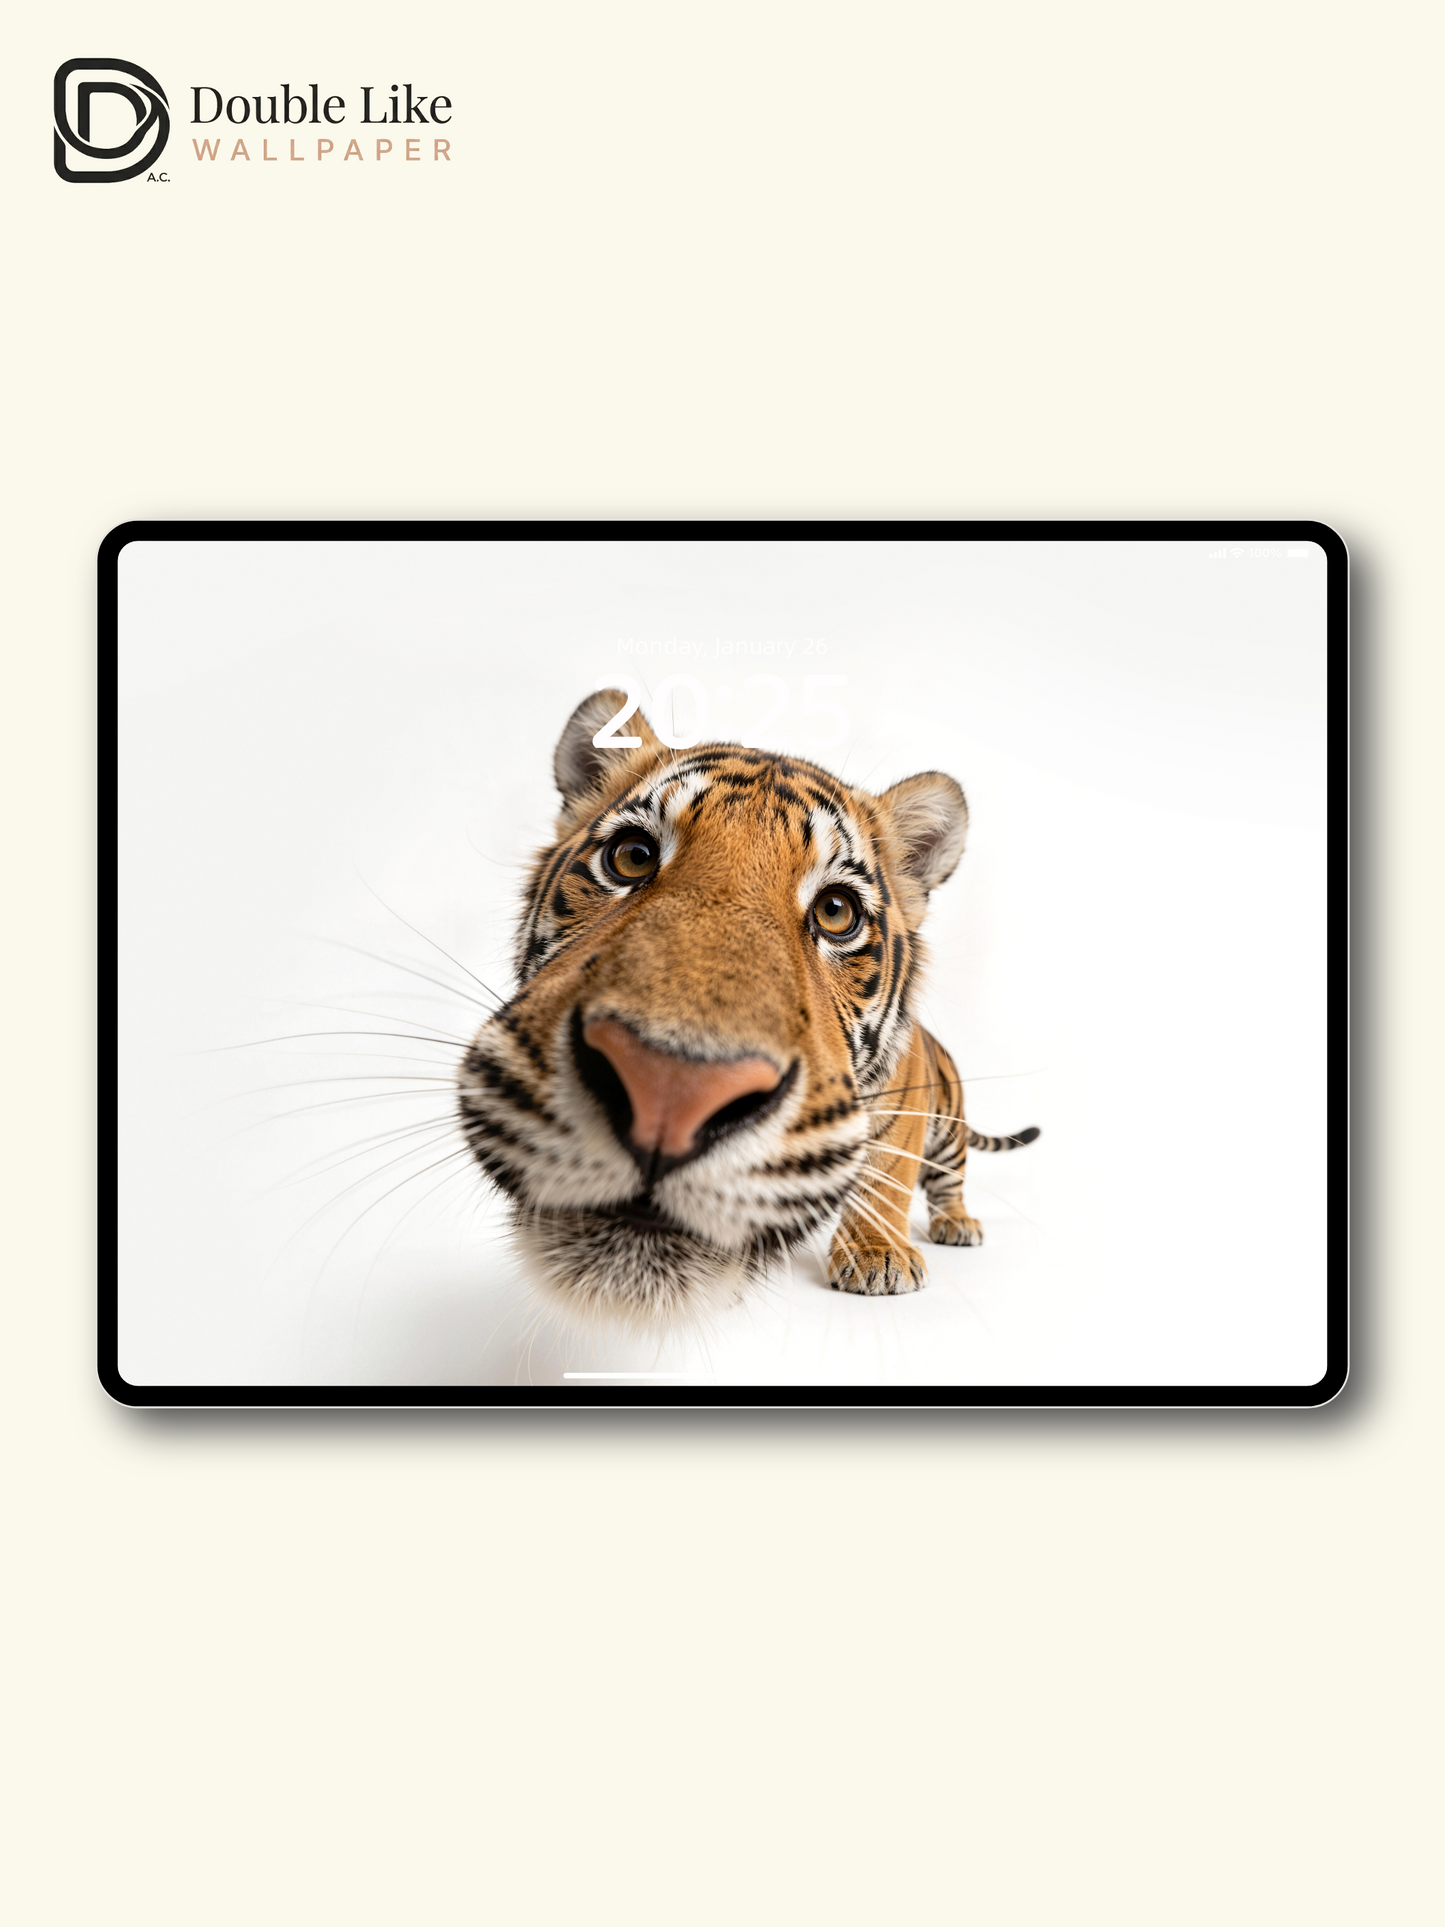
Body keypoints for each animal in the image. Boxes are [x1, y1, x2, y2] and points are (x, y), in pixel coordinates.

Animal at [457, 688, 1039, 1330]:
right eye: (632, 856)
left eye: (836, 911)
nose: (669, 1094)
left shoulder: (904, 1110)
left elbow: (887, 1179)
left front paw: (878, 1254)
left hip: (949, 1129)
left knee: (949, 1178)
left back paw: (956, 1224)